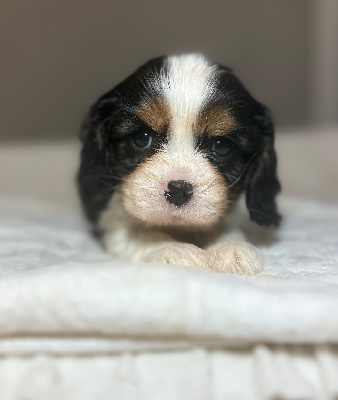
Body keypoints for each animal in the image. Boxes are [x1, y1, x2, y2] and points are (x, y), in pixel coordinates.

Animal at [77, 54, 280, 276]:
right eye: (141, 138)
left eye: (222, 146)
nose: (179, 190)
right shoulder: (113, 219)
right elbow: (140, 232)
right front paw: (173, 250)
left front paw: (231, 246)